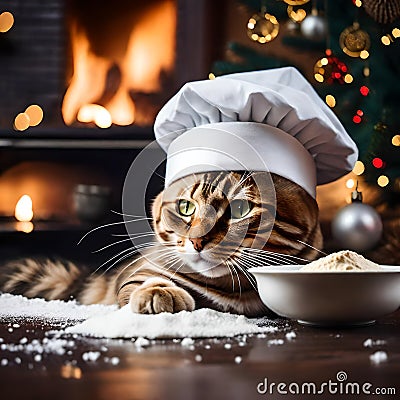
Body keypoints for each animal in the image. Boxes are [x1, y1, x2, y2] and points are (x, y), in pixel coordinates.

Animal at [0, 170, 322, 318]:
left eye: (241, 209)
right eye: (185, 207)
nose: (197, 241)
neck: (231, 289)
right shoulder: (140, 272)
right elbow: (143, 283)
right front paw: (159, 292)